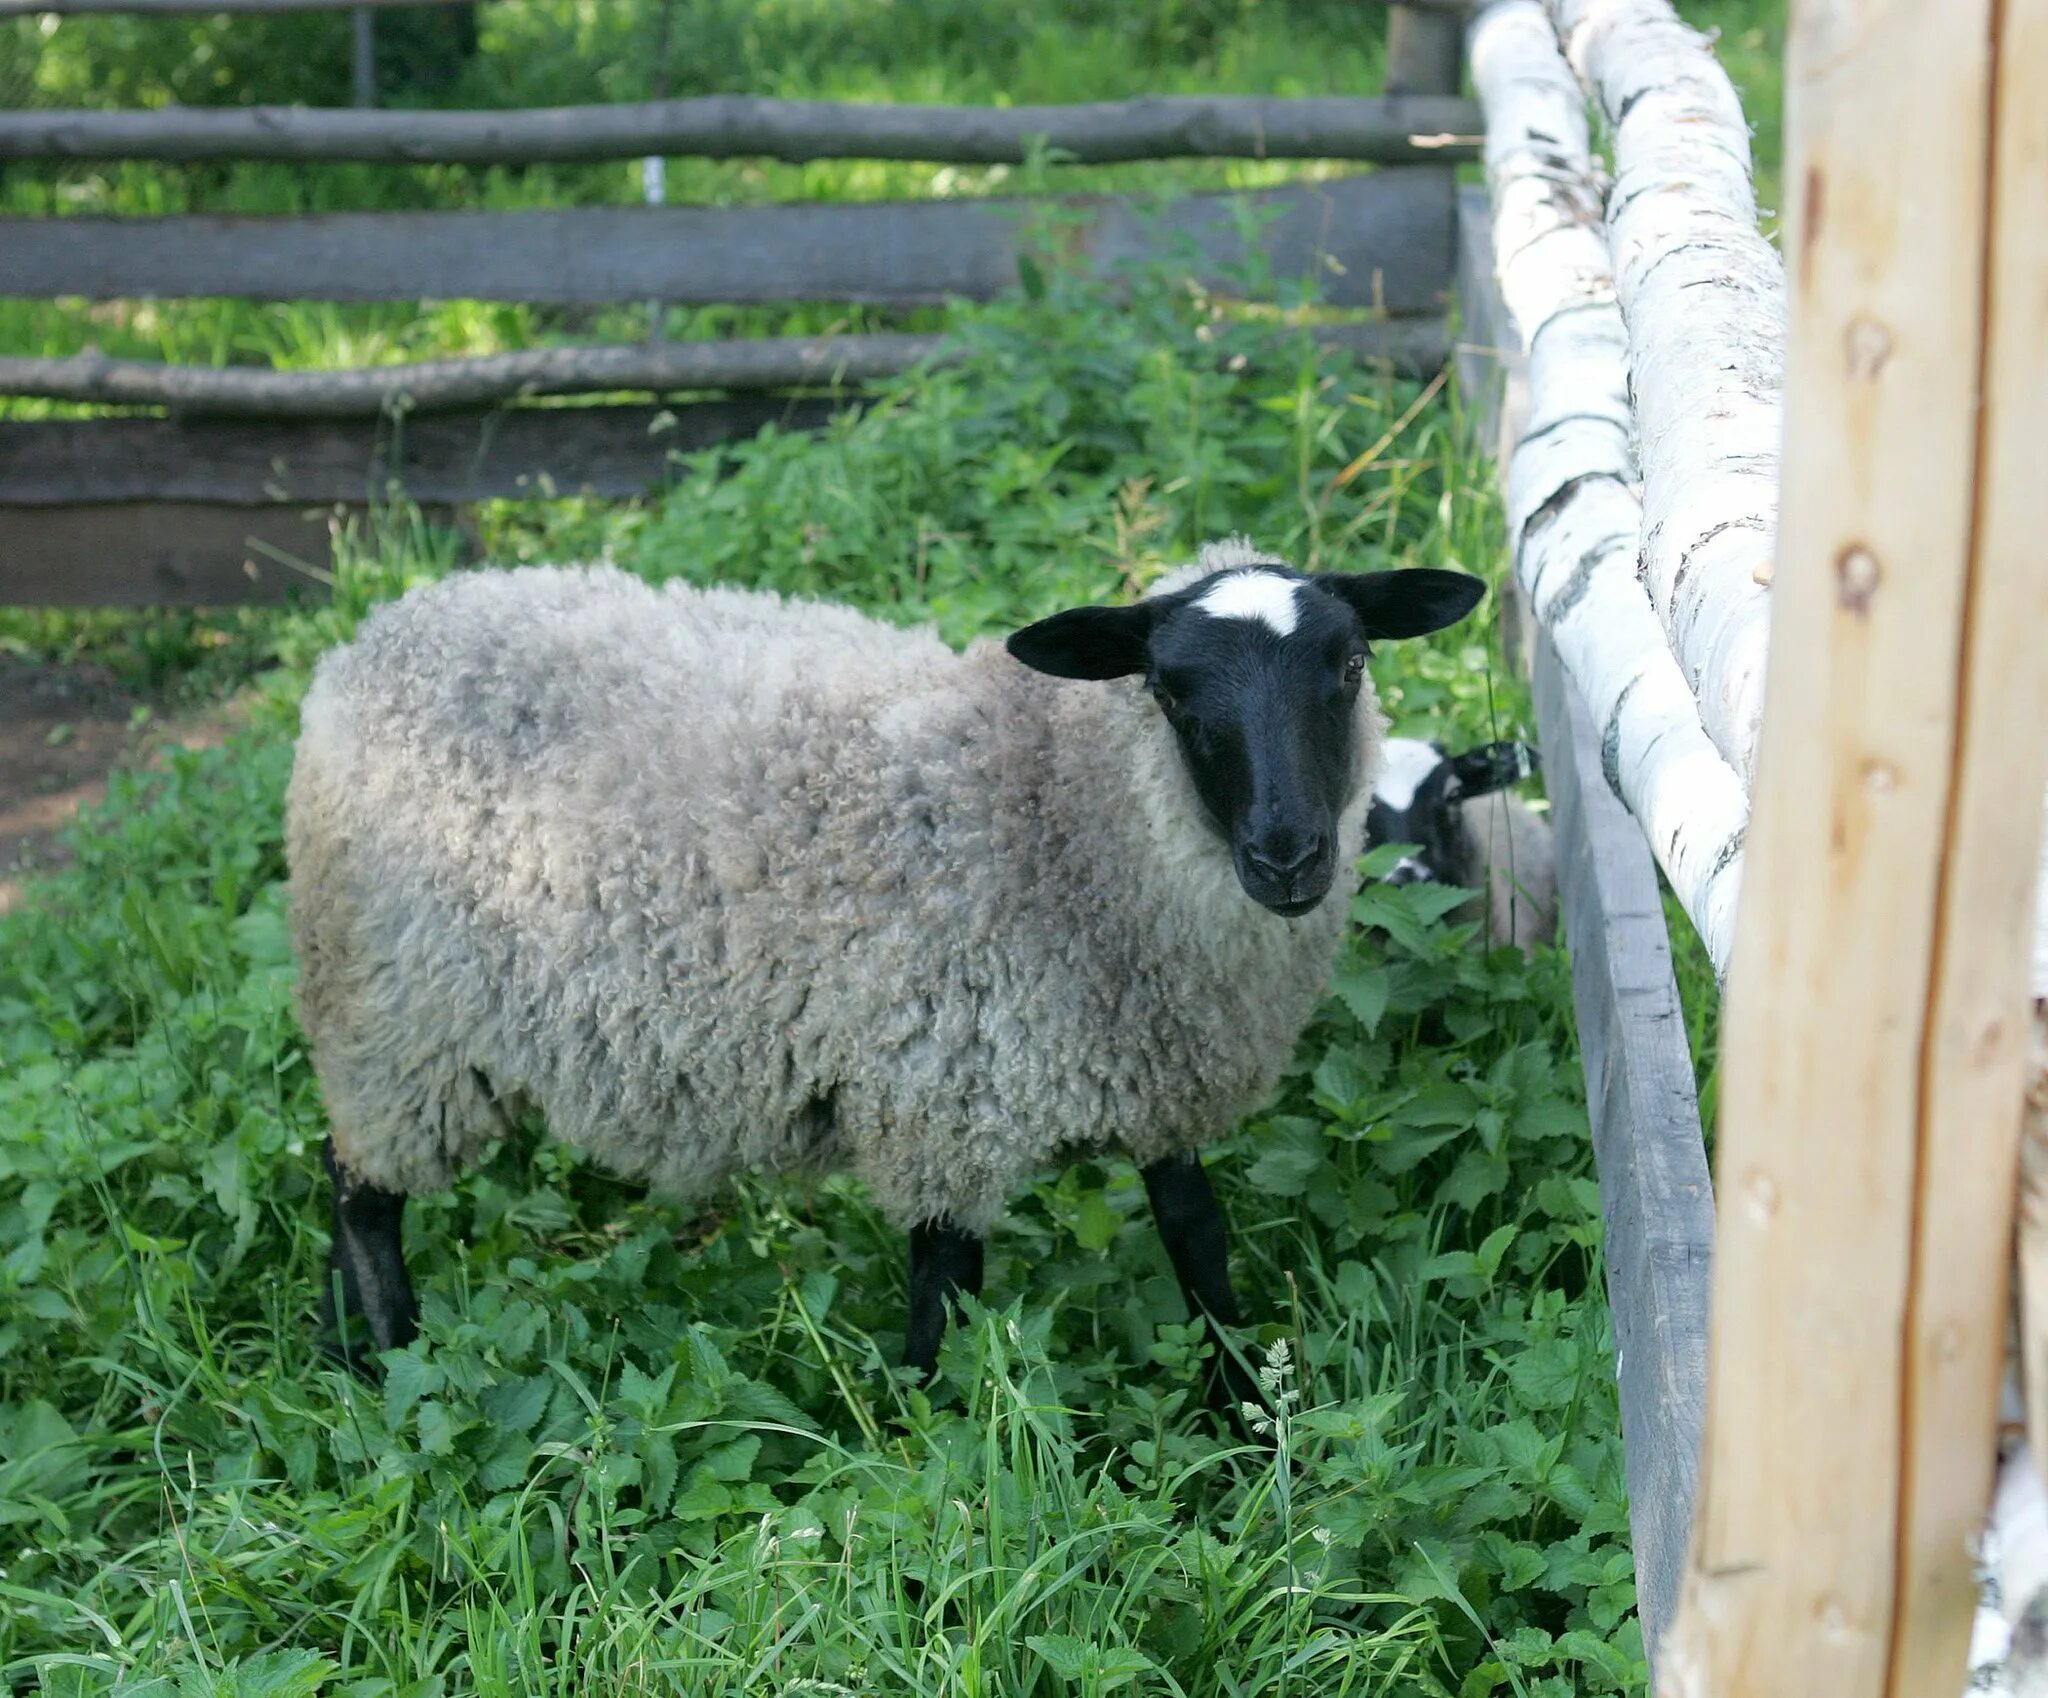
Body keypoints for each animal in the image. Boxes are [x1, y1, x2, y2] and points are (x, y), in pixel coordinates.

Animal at [288, 540, 1482, 1392]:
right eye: (1169, 693)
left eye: (1349, 665)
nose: (1288, 856)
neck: (1049, 811)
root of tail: (380, 634)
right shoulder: (940, 1099)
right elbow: (942, 1306)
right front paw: (935, 1462)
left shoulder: (1158, 1073)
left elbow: (1199, 1242)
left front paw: (1243, 1416)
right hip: (392, 1011)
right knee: (360, 1191)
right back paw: (390, 1359)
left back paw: (338, 1351)